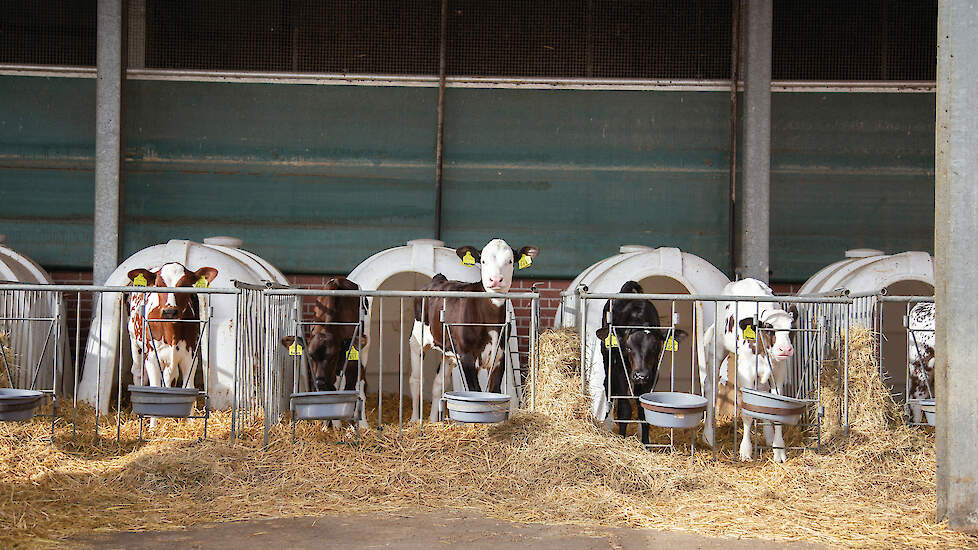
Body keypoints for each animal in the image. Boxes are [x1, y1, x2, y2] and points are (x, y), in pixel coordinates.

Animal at [406, 239, 536, 424]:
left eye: (510, 261)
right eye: (483, 261)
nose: (496, 279)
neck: (490, 319)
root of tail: (438, 279)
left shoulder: (500, 356)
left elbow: (493, 391)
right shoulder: (467, 357)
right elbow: (475, 392)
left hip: (449, 352)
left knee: (439, 383)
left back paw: (432, 421)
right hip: (417, 339)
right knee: (416, 380)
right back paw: (415, 420)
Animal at [596, 282, 688, 446]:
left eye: (656, 347)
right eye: (628, 348)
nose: (640, 375)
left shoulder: (653, 373)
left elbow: (644, 409)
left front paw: (646, 443)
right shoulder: (621, 370)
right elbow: (625, 408)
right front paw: (622, 438)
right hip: (607, 360)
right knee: (608, 387)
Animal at [692, 278, 792, 464]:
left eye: (790, 328)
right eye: (768, 327)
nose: (785, 349)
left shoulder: (779, 374)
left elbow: (775, 410)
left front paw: (779, 450)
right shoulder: (747, 372)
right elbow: (747, 414)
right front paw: (745, 451)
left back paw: (768, 436)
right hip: (717, 349)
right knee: (710, 386)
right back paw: (708, 436)